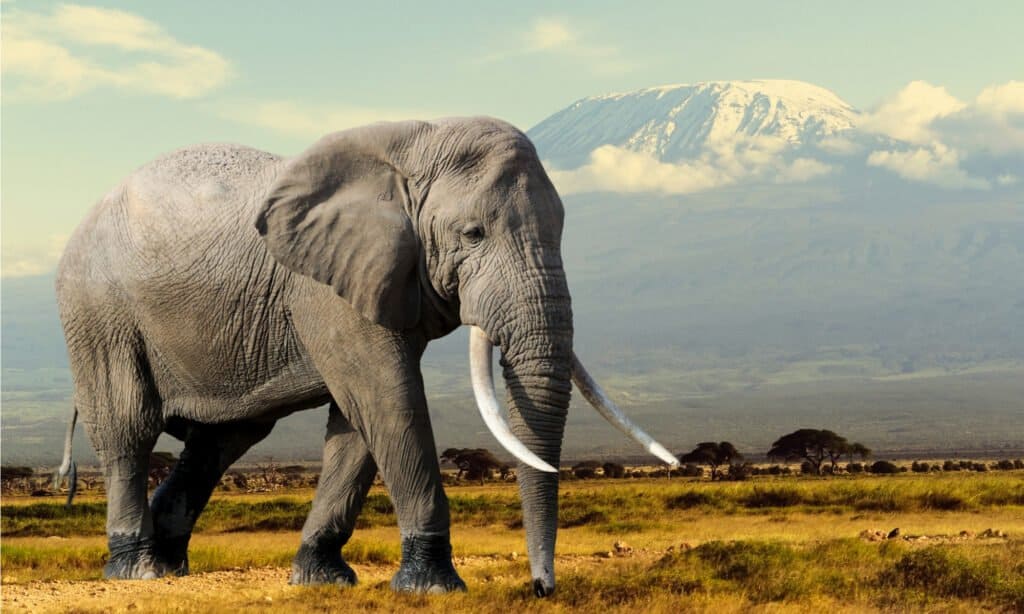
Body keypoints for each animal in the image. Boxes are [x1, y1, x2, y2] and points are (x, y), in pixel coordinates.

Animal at [54, 117, 679, 597]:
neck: (416, 143)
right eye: (473, 234)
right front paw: (432, 587)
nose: (541, 588)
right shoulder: (327, 286)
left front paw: (321, 578)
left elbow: (358, 422)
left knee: (222, 440)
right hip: (98, 311)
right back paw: (138, 570)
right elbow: (387, 397)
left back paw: (169, 562)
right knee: (129, 428)